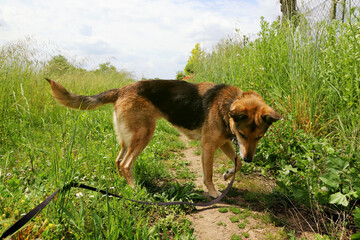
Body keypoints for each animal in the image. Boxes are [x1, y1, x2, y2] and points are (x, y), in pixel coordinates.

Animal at [45, 79, 282, 197]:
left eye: (259, 137)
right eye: (242, 134)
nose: (251, 158)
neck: (228, 104)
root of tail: (121, 89)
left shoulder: (224, 142)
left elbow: (238, 163)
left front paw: (227, 175)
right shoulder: (209, 146)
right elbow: (208, 175)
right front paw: (215, 192)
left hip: (127, 139)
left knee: (118, 161)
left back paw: (124, 184)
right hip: (144, 135)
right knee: (126, 163)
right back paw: (134, 189)